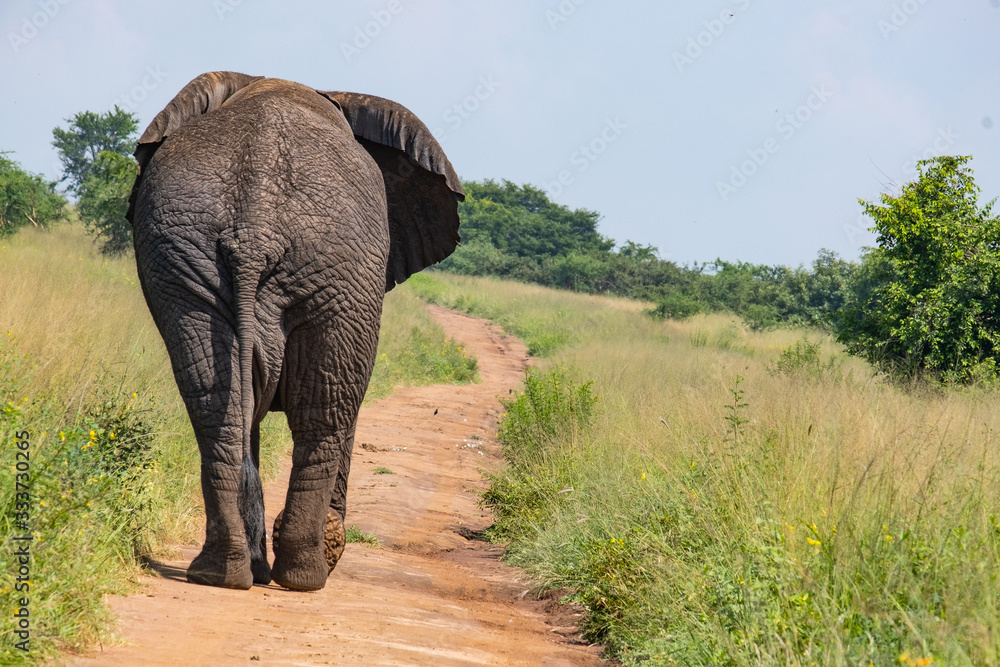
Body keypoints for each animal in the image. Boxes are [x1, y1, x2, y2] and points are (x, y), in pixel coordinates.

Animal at [126, 71, 463, 591]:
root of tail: (255, 230)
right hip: (338, 270)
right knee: (325, 411)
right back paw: (304, 576)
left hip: (186, 253)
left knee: (218, 406)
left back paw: (223, 573)